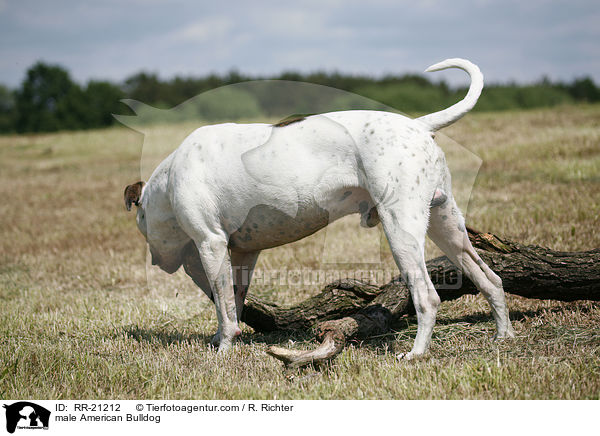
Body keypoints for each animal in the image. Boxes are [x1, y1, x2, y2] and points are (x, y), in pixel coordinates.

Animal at [124, 58, 512, 358]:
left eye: (142, 223)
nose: (155, 259)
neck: (169, 182)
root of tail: (417, 124)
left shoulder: (210, 245)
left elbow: (223, 307)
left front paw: (223, 350)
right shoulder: (244, 254)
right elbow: (232, 302)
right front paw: (223, 338)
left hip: (401, 230)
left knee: (427, 297)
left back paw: (415, 354)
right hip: (447, 227)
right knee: (490, 279)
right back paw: (504, 335)